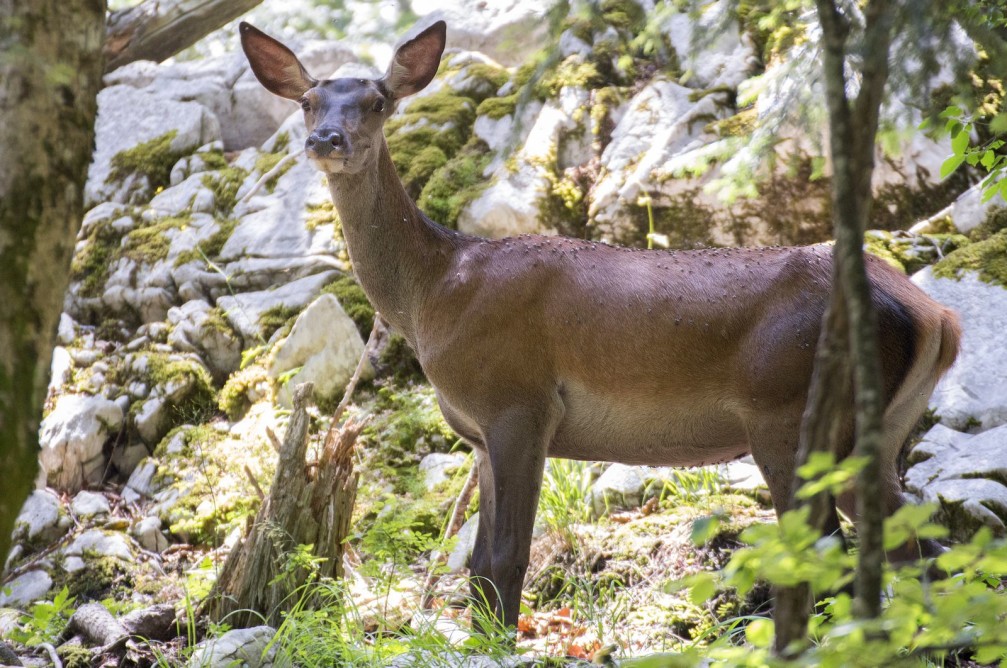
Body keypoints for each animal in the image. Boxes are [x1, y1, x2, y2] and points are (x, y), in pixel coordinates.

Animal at [239, 19, 962, 632]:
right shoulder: (478, 434)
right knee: (919, 547)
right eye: (308, 100)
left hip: (791, 408)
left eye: (379, 101)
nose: (326, 141)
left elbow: (506, 558)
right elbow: (477, 568)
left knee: (829, 548)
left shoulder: (519, 401)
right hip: (874, 430)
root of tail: (935, 314)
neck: (435, 293)